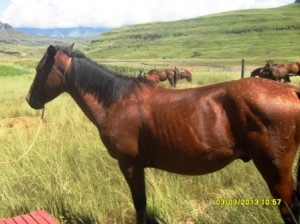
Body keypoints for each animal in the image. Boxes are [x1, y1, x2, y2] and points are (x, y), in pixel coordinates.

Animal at [26, 44, 300, 224]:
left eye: (40, 69)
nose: (30, 99)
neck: (117, 101)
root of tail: (291, 91)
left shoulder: (129, 165)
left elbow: (139, 205)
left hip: (275, 168)